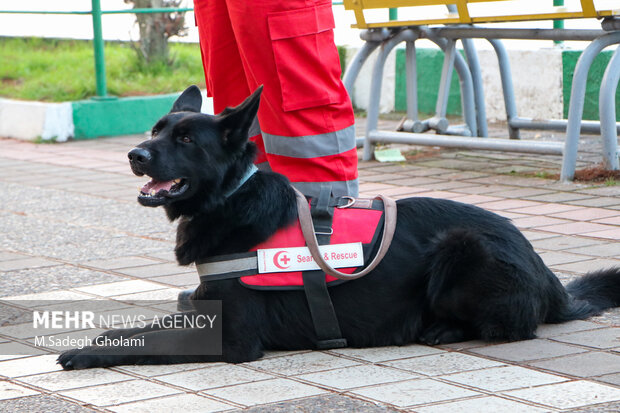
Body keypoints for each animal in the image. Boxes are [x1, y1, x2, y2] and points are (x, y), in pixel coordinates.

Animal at [57, 85, 616, 368]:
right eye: (155, 131)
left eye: (188, 140)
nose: (134, 154)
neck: (232, 198)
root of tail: (549, 278)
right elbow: (131, 331)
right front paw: (99, 338)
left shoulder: (231, 339)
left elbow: (149, 342)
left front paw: (81, 353)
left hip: (465, 245)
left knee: (511, 326)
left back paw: (441, 328)